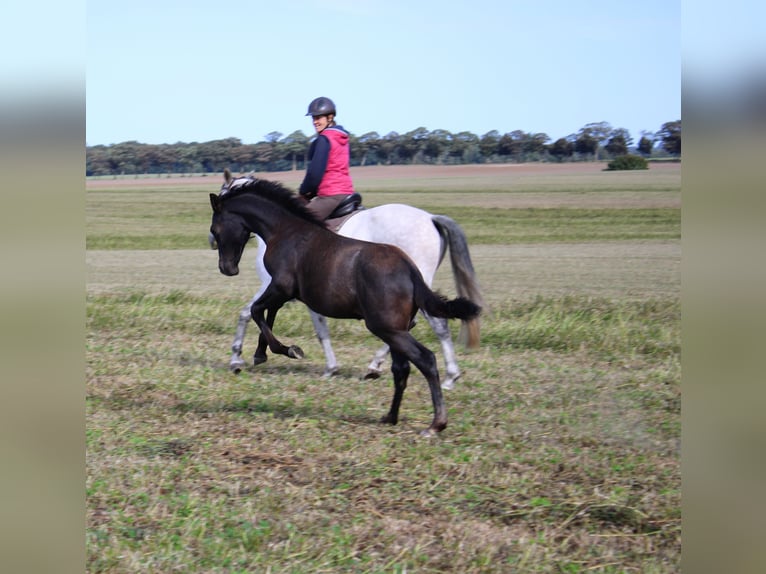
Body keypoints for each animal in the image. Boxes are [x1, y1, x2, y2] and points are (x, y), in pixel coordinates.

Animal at [209, 172, 482, 436]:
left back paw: (436, 420)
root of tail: (409, 269)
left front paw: (281, 351)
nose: (226, 268)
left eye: (216, 228)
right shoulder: (284, 292)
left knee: (426, 357)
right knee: (402, 367)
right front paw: (260, 354)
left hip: (387, 327)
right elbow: (270, 315)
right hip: (395, 328)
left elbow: (255, 311)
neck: (286, 231)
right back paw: (391, 412)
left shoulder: (280, 287)